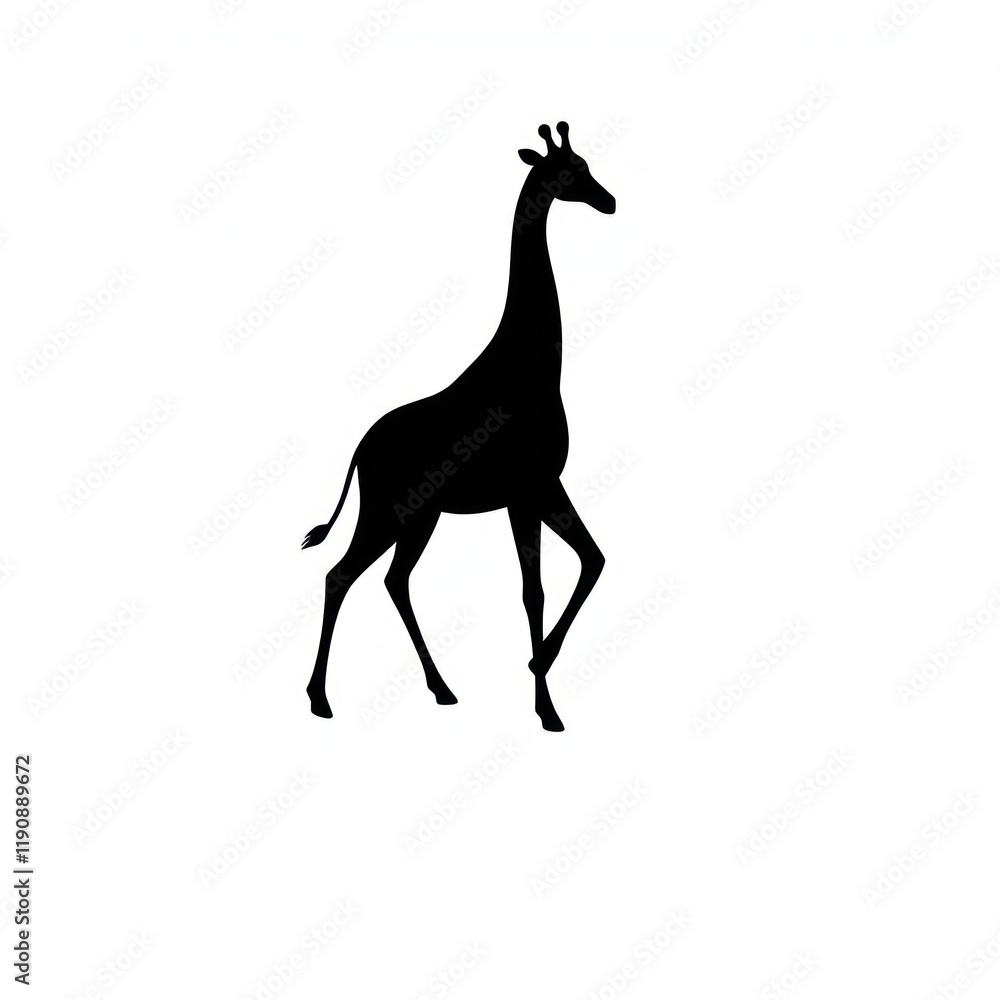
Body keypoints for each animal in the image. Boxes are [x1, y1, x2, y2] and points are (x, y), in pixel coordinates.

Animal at [302, 121, 616, 731]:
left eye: (588, 165)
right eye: (568, 172)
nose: (609, 201)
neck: (533, 365)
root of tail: (359, 449)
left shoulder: (544, 486)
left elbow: (592, 560)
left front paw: (540, 676)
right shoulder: (527, 489)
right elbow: (534, 589)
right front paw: (544, 703)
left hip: (420, 515)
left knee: (392, 580)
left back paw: (441, 689)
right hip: (388, 510)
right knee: (341, 575)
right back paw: (320, 700)